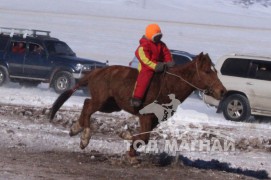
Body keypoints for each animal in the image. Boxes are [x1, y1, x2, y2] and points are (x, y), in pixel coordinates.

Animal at [49, 51, 227, 162]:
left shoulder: (155, 120)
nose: (222, 91)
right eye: (207, 71)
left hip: (111, 104)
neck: (169, 85)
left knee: (87, 104)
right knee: (88, 105)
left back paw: (76, 128)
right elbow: (143, 138)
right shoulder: (146, 116)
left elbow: (143, 138)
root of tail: (97, 71)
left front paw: (131, 153)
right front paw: (125, 136)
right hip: (101, 100)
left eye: (215, 71)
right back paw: (84, 136)